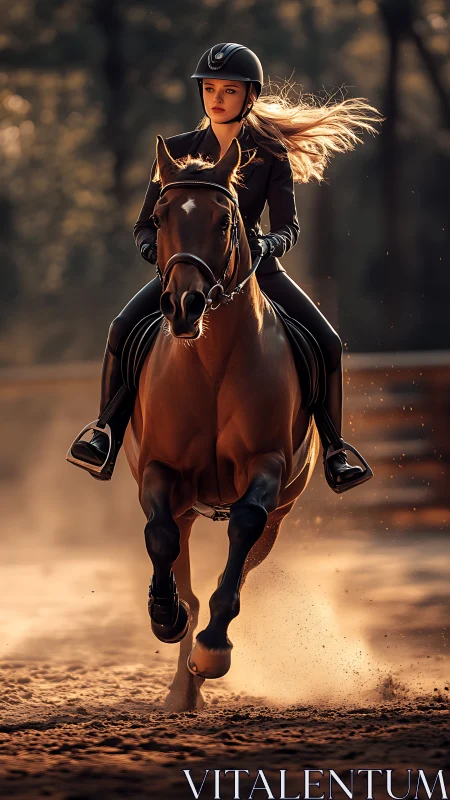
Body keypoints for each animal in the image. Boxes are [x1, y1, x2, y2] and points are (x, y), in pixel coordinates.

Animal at [123, 135, 320, 712]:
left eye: (226, 221)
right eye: (159, 216)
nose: (184, 306)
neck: (209, 361)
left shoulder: (266, 465)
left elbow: (243, 527)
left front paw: (212, 649)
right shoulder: (160, 469)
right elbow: (160, 537)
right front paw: (165, 616)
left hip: (282, 511)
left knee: (244, 560)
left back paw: (199, 664)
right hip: (187, 504)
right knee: (180, 560)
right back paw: (181, 686)